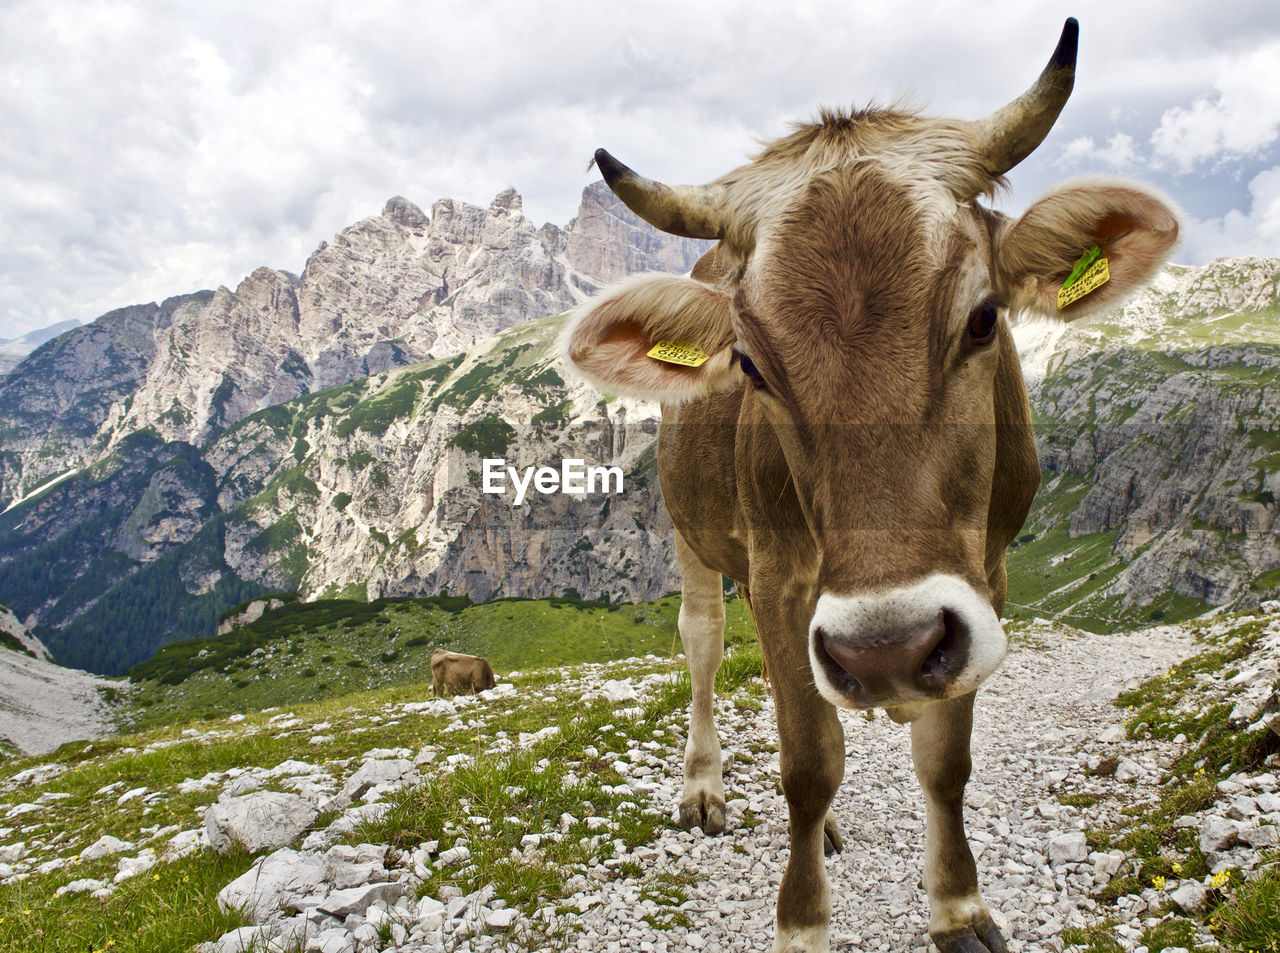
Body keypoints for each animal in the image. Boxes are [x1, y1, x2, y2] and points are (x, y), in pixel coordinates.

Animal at [563, 20, 1177, 951]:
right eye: (751, 364)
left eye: (984, 318)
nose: (885, 648)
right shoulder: (783, 573)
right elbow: (808, 763)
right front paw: (801, 922)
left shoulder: (984, 575)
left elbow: (944, 760)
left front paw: (958, 905)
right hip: (690, 528)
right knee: (705, 641)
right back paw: (705, 787)